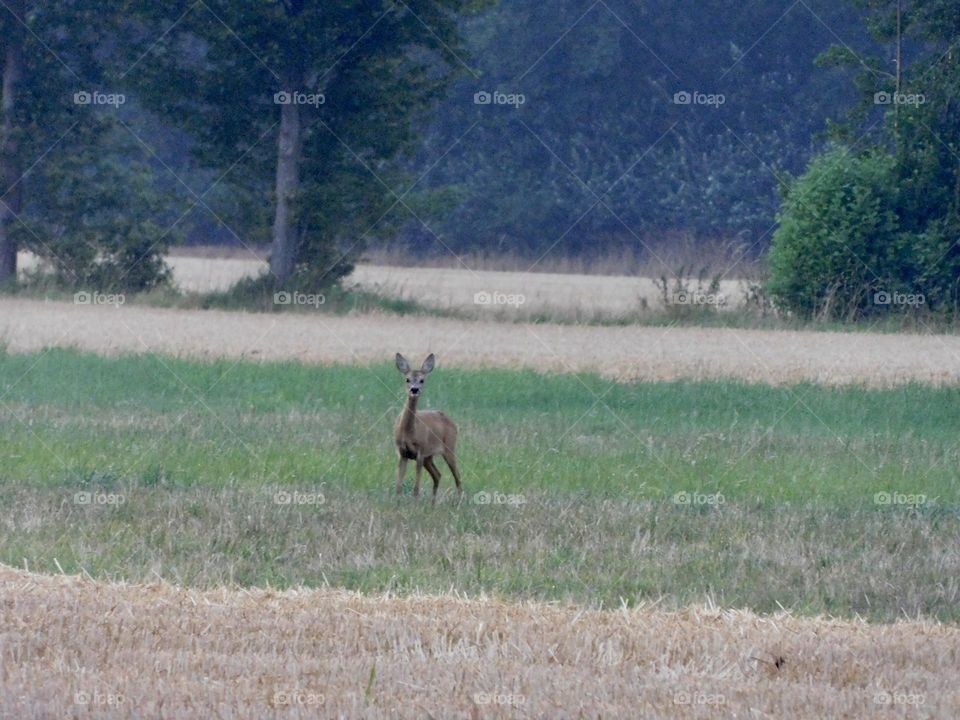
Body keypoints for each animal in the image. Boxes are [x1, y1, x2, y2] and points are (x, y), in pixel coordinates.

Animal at [394, 353, 462, 503]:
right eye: (407, 379)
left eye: (422, 380)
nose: (414, 389)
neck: (408, 432)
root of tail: (453, 422)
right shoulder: (402, 452)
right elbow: (399, 485)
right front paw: (397, 502)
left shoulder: (420, 450)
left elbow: (416, 487)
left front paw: (414, 500)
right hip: (429, 457)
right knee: (438, 474)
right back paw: (432, 503)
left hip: (449, 447)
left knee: (458, 476)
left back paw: (459, 501)